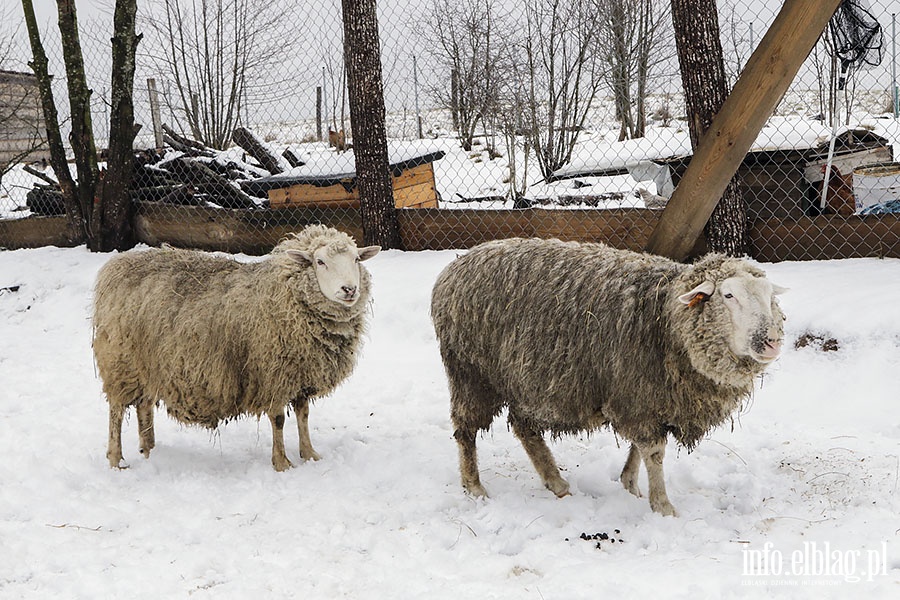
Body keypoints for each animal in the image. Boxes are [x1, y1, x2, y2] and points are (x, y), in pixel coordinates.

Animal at [94, 224, 380, 468]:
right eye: (320, 262)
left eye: (356, 259)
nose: (349, 289)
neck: (285, 297)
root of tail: (117, 265)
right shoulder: (271, 375)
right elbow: (278, 420)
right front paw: (281, 463)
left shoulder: (300, 375)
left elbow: (304, 415)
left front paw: (309, 454)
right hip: (121, 363)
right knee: (116, 412)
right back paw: (116, 459)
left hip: (147, 366)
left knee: (143, 406)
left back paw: (148, 449)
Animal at [432, 239, 784, 516]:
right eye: (728, 295)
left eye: (769, 296)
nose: (771, 341)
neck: (664, 319)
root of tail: (452, 269)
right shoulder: (635, 394)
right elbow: (654, 451)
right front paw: (662, 505)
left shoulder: (647, 396)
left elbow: (639, 448)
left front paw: (630, 484)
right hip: (471, 372)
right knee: (466, 430)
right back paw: (474, 487)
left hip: (524, 380)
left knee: (524, 428)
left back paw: (555, 481)